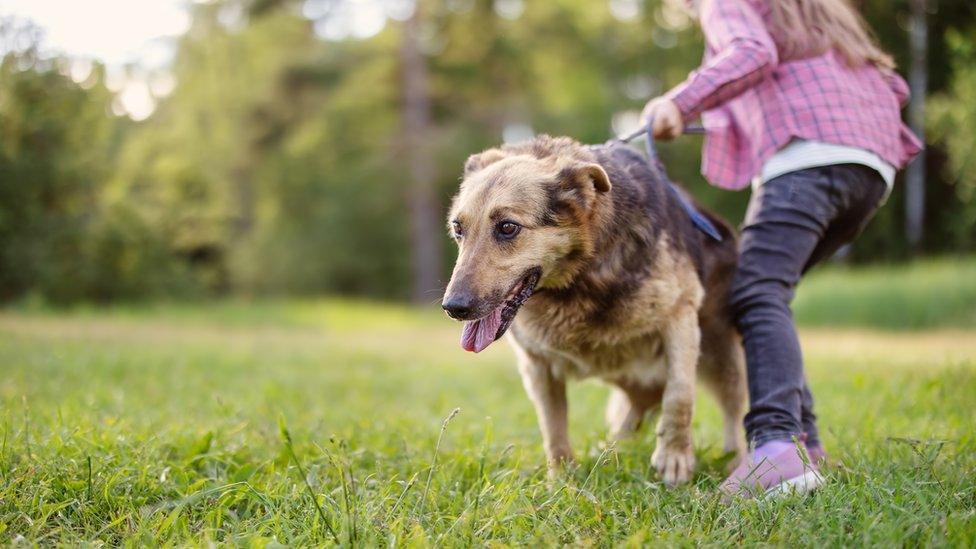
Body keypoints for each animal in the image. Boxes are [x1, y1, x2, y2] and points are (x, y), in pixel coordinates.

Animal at [442, 136, 748, 484]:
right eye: (458, 228)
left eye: (507, 227)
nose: (453, 307)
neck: (580, 277)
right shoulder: (537, 366)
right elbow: (553, 427)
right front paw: (561, 480)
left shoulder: (680, 318)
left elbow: (680, 396)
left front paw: (674, 458)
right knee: (635, 411)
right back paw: (614, 450)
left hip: (719, 357)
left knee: (731, 410)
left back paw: (736, 462)